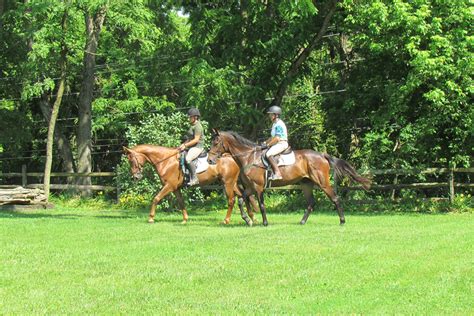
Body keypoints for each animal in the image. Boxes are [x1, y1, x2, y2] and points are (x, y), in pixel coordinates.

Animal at [122, 144, 256, 226]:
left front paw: (150, 218)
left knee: (232, 200)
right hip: (231, 183)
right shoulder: (175, 188)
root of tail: (232, 157)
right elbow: (181, 202)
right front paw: (185, 220)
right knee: (243, 196)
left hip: (228, 183)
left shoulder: (169, 186)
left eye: (132, 160)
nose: (136, 177)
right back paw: (250, 218)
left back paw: (227, 220)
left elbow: (156, 198)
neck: (166, 161)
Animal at [209, 130, 372, 226]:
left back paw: (342, 221)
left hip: (323, 183)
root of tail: (322, 155)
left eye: (216, 142)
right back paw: (302, 221)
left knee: (335, 198)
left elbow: (261, 205)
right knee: (311, 203)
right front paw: (247, 220)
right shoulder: (250, 187)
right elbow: (241, 200)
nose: (210, 160)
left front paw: (265, 223)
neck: (249, 157)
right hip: (306, 184)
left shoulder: (258, 187)